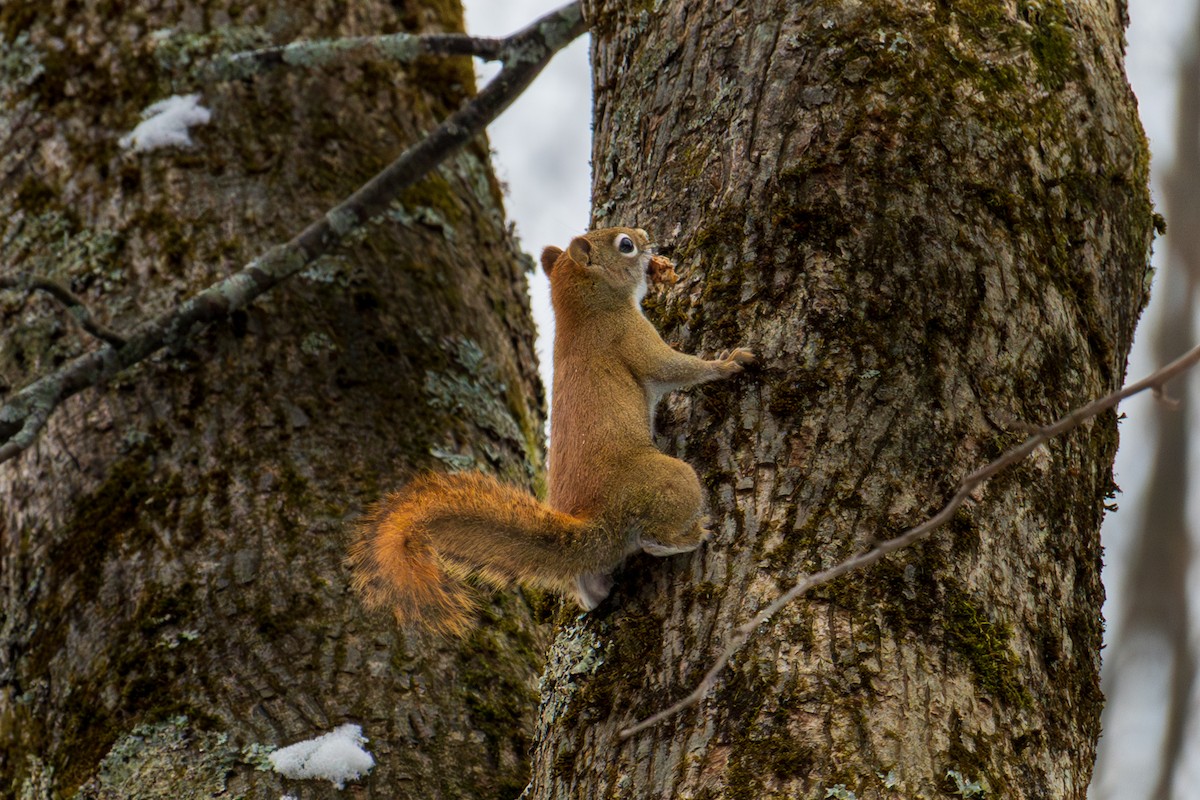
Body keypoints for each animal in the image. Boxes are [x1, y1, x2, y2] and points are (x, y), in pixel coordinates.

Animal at [348, 227, 755, 635]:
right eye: (626, 245)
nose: (646, 236)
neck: (583, 310)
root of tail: (598, 521)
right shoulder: (630, 336)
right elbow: (673, 367)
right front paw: (726, 364)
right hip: (668, 479)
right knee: (654, 538)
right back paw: (692, 534)